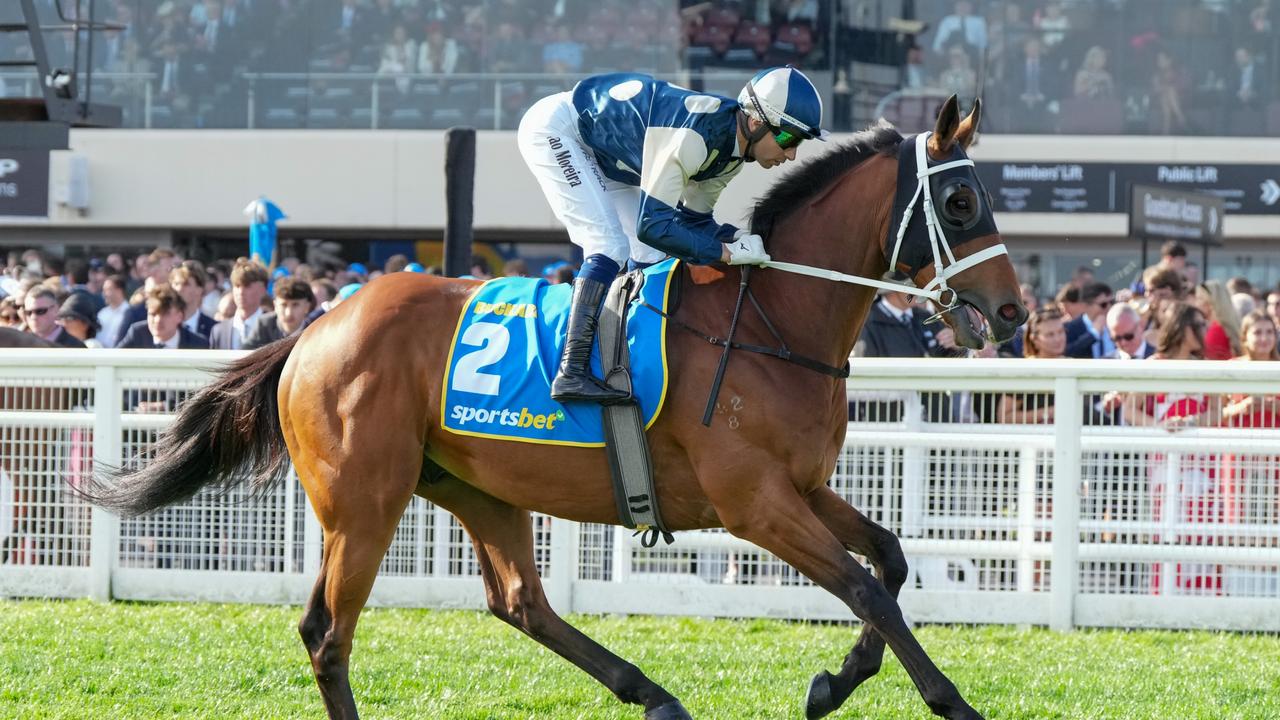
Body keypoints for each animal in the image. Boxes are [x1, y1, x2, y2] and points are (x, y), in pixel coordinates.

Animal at [87, 98, 1029, 717]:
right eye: (959, 202)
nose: (1015, 313)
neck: (770, 320)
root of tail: (318, 326)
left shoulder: (799, 487)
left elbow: (891, 564)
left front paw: (832, 683)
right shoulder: (752, 503)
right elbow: (864, 588)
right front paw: (948, 701)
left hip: (474, 487)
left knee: (520, 603)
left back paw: (651, 694)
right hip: (364, 500)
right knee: (328, 631)